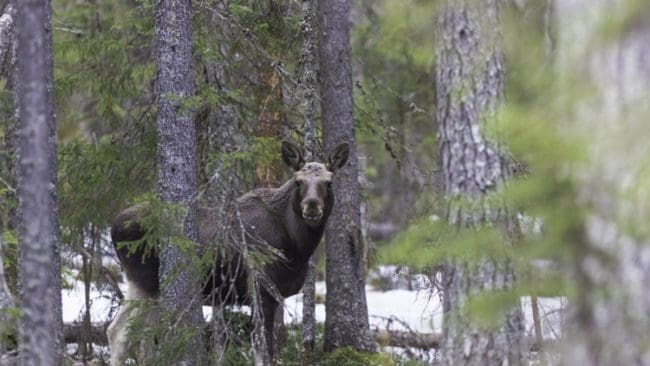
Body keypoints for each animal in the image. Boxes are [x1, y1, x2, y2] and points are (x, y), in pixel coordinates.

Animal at [107, 140, 350, 364]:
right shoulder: (261, 289)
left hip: (148, 288)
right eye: (298, 181)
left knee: (136, 336)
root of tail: (113, 225)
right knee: (121, 333)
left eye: (328, 182)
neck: (297, 248)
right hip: (145, 283)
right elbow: (262, 351)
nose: (311, 206)